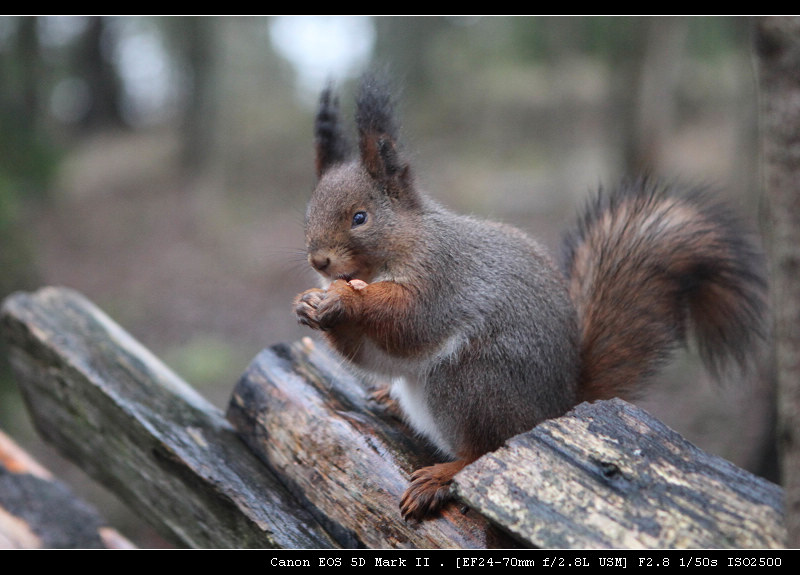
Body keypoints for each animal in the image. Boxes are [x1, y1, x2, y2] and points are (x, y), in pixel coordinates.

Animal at [292, 75, 768, 520]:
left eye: (360, 218)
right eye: (308, 212)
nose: (319, 261)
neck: (401, 247)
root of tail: (557, 408)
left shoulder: (443, 278)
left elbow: (409, 321)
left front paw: (345, 301)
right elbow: (375, 355)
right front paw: (309, 304)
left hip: (472, 383)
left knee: (484, 450)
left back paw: (441, 477)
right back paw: (390, 399)